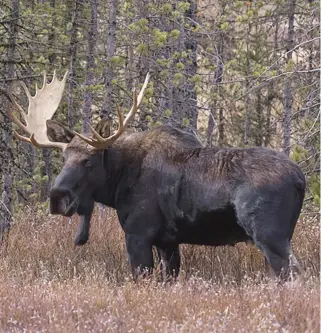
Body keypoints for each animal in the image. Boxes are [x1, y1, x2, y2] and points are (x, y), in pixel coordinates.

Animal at [6, 70, 304, 280]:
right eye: (64, 157)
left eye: (88, 160)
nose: (57, 197)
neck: (118, 183)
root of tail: (300, 179)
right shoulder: (167, 242)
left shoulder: (138, 234)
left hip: (270, 235)